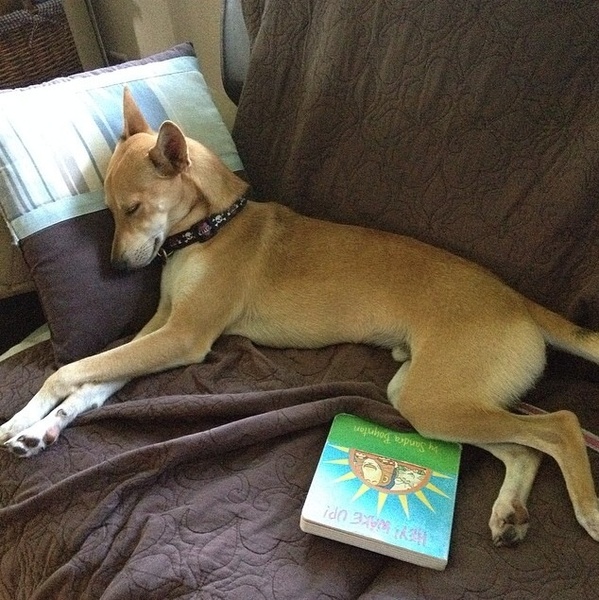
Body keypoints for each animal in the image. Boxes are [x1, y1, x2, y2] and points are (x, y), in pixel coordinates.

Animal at [1, 88, 599, 548]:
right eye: (108, 210)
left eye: (132, 208)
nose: (116, 268)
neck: (212, 228)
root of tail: (518, 301)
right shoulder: (160, 330)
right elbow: (95, 382)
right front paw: (42, 428)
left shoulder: (184, 337)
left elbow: (69, 370)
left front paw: (19, 418)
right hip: (430, 398)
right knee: (526, 448)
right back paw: (509, 513)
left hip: (436, 399)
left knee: (561, 425)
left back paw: (588, 511)